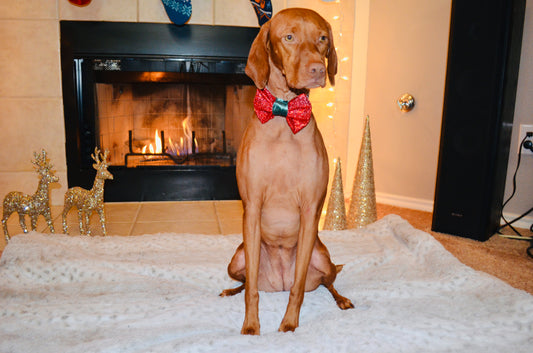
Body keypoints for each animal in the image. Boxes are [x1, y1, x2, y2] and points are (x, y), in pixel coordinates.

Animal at [220, 7, 354, 332]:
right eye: (289, 37)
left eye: (322, 38)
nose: (318, 70)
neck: (283, 115)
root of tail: (276, 283)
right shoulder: (252, 208)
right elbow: (251, 290)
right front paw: (251, 326)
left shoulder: (309, 211)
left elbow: (299, 286)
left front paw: (289, 323)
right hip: (237, 258)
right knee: (246, 281)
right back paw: (231, 290)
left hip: (322, 257)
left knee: (327, 282)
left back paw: (341, 299)